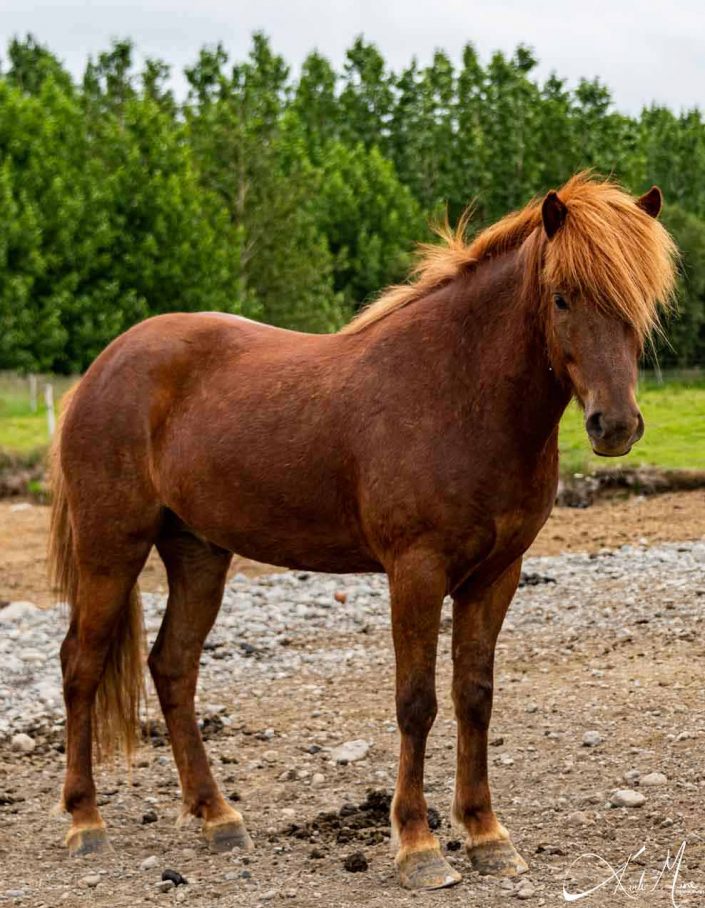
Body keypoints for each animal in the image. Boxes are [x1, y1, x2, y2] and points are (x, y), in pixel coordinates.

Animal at [49, 174, 676, 892]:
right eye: (562, 296)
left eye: (639, 297)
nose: (614, 425)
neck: (459, 390)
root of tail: (104, 367)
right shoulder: (416, 571)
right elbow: (416, 702)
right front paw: (418, 847)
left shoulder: (497, 575)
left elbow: (474, 697)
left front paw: (486, 835)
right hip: (111, 548)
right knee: (81, 665)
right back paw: (86, 821)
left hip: (198, 552)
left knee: (173, 666)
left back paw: (217, 817)